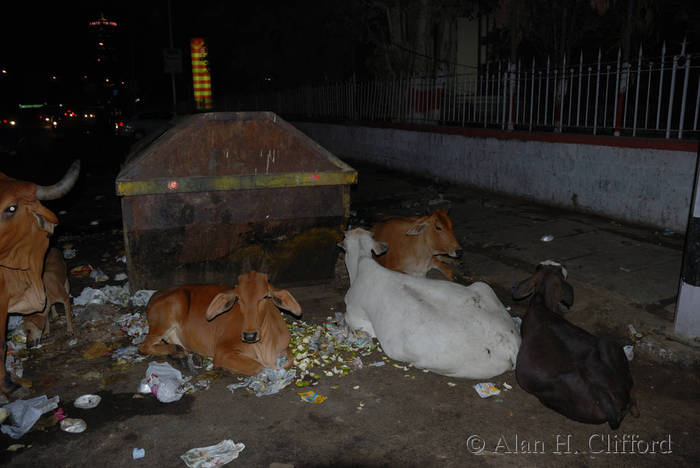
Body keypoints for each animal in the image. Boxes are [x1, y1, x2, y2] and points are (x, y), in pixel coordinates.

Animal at [139, 270, 300, 376]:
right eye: (238, 298)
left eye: (266, 296)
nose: (250, 336)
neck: (265, 346)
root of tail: (156, 295)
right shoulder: (223, 351)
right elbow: (258, 367)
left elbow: (289, 361)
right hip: (167, 316)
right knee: (144, 346)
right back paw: (176, 351)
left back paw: (186, 354)